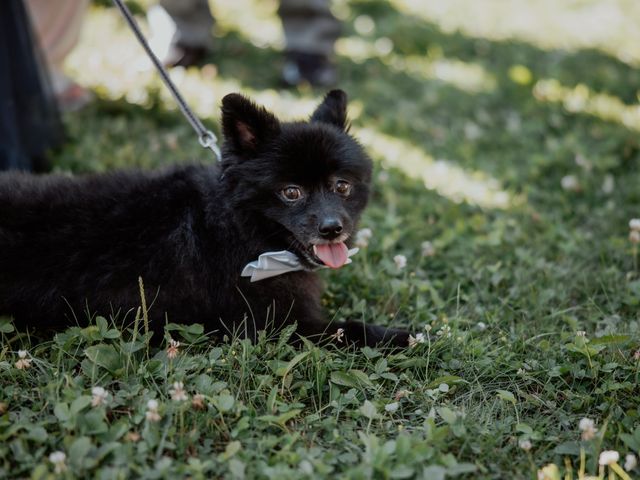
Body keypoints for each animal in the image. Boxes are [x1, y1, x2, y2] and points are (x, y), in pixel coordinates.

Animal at [0, 90, 410, 346]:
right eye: (291, 192)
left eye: (342, 186)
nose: (332, 228)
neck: (234, 227)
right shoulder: (278, 326)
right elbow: (352, 330)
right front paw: (409, 336)